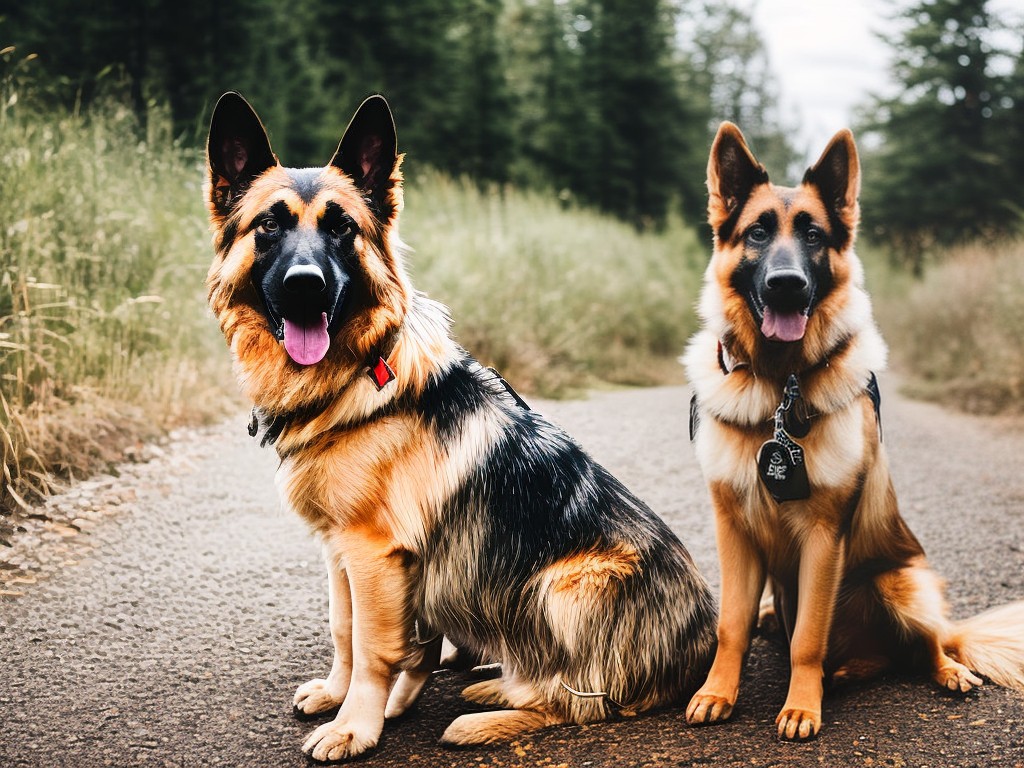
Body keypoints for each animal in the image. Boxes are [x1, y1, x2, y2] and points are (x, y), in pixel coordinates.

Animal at [203, 91, 716, 765]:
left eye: (342, 228)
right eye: (269, 225)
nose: (305, 288)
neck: (359, 375)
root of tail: (707, 643)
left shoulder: (373, 555)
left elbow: (373, 648)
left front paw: (356, 726)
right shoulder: (341, 551)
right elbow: (344, 629)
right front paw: (339, 694)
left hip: (561, 585)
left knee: (582, 701)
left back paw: (485, 717)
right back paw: (495, 687)